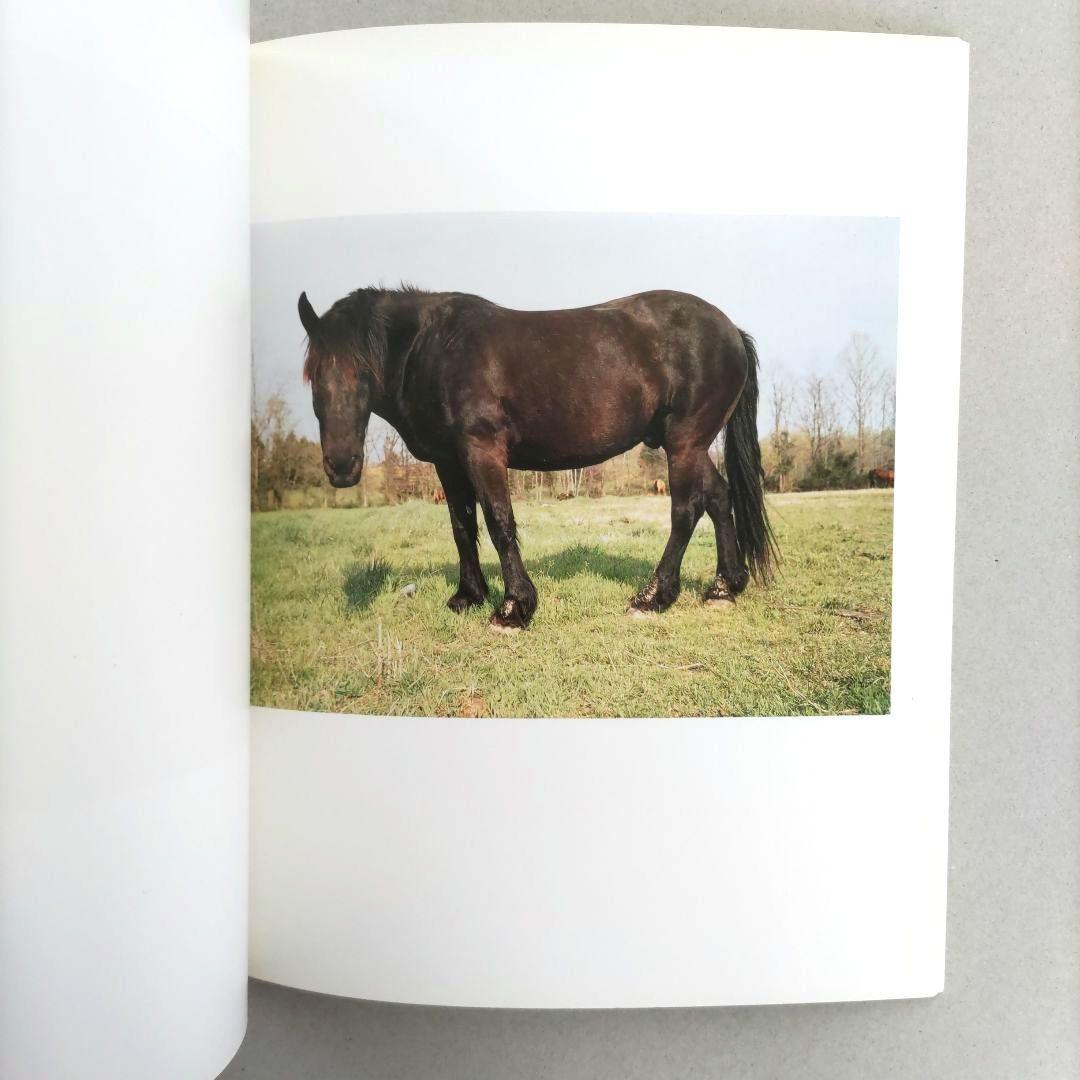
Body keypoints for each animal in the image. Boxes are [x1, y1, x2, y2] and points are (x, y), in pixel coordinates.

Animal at [298, 286, 777, 633]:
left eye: (363, 373)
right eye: (314, 376)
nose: (341, 466)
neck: (434, 347)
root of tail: (731, 331)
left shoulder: (482, 450)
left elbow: (498, 521)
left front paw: (513, 608)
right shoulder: (448, 462)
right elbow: (461, 526)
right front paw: (468, 596)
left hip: (684, 443)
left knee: (686, 509)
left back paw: (652, 597)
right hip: (690, 445)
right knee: (719, 497)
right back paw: (723, 588)